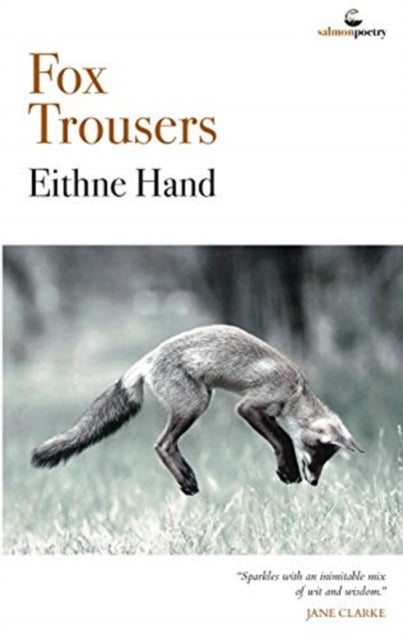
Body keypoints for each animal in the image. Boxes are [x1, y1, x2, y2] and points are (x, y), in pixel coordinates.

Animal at [31, 325, 364, 494]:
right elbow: (282, 439)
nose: (315, 482)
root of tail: (150, 356)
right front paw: (288, 470)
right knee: (162, 444)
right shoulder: (251, 407)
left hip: (199, 399)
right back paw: (186, 480)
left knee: (166, 444)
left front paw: (288, 469)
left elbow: (282, 438)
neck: (296, 392)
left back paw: (187, 477)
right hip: (196, 403)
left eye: (325, 459)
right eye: (318, 453)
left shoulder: (265, 412)